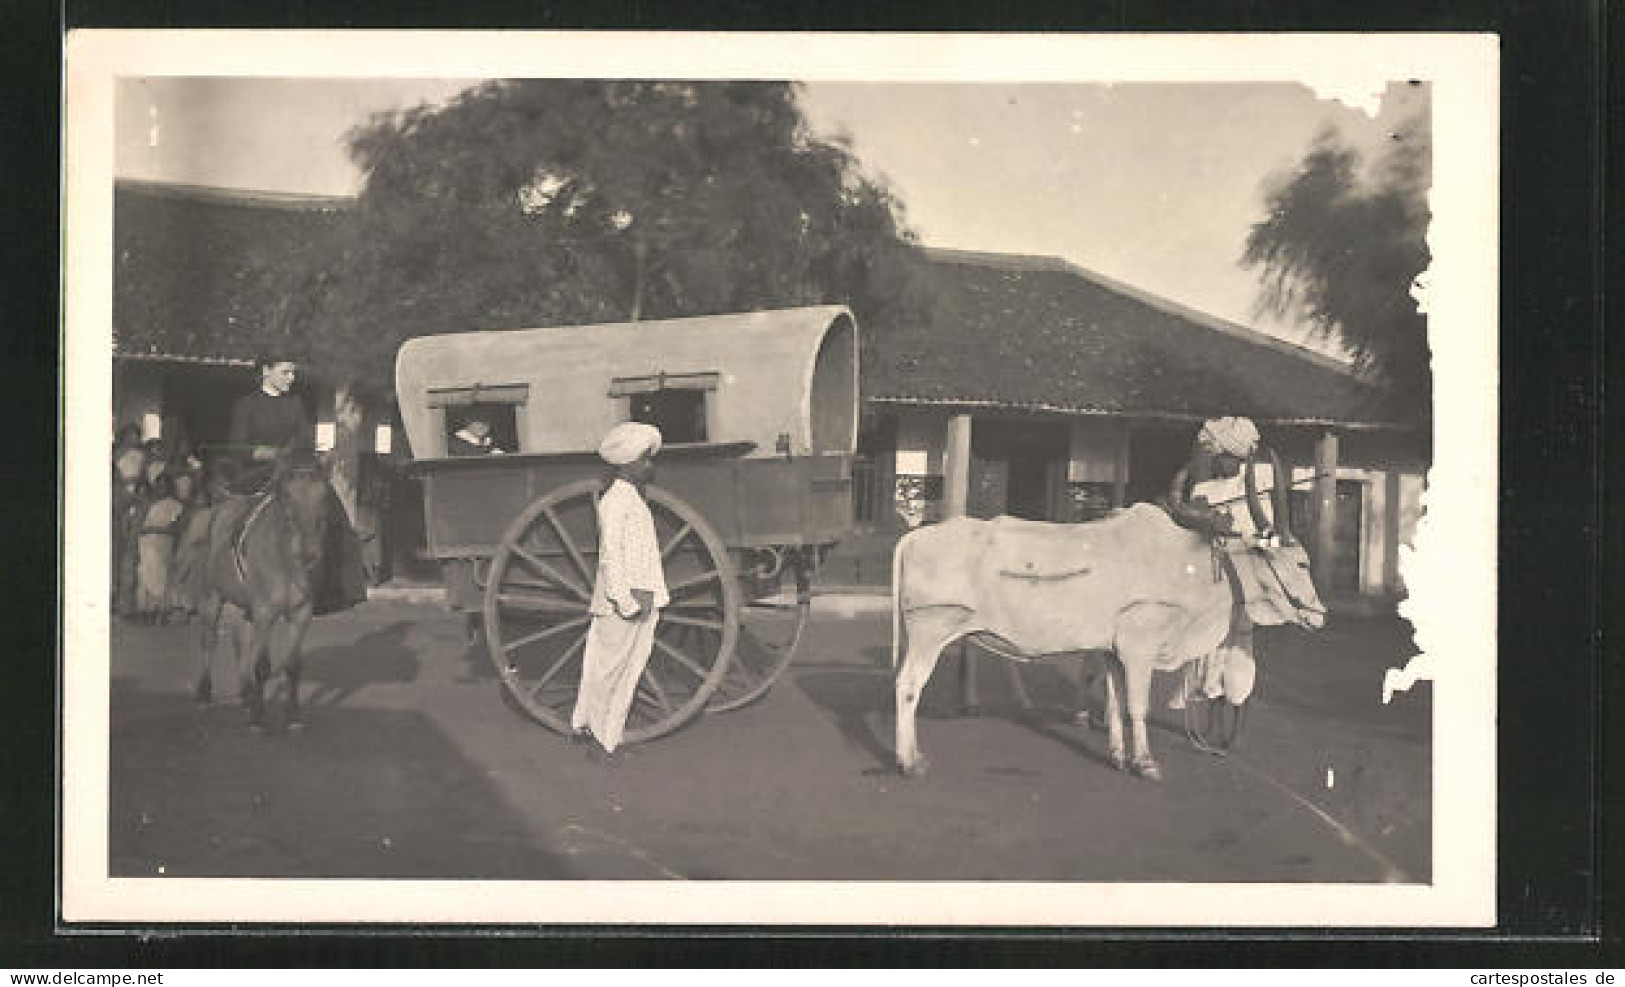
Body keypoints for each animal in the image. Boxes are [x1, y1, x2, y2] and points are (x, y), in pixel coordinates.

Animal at [193, 452, 333, 728]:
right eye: (288, 496)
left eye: (324, 496)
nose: (310, 554)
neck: (285, 559)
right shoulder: (265, 612)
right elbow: (261, 665)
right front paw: (258, 716)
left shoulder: (300, 613)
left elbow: (292, 664)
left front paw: (292, 714)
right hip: (211, 595)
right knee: (209, 641)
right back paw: (204, 693)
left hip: (242, 604)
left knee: (240, 641)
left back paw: (246, 694)